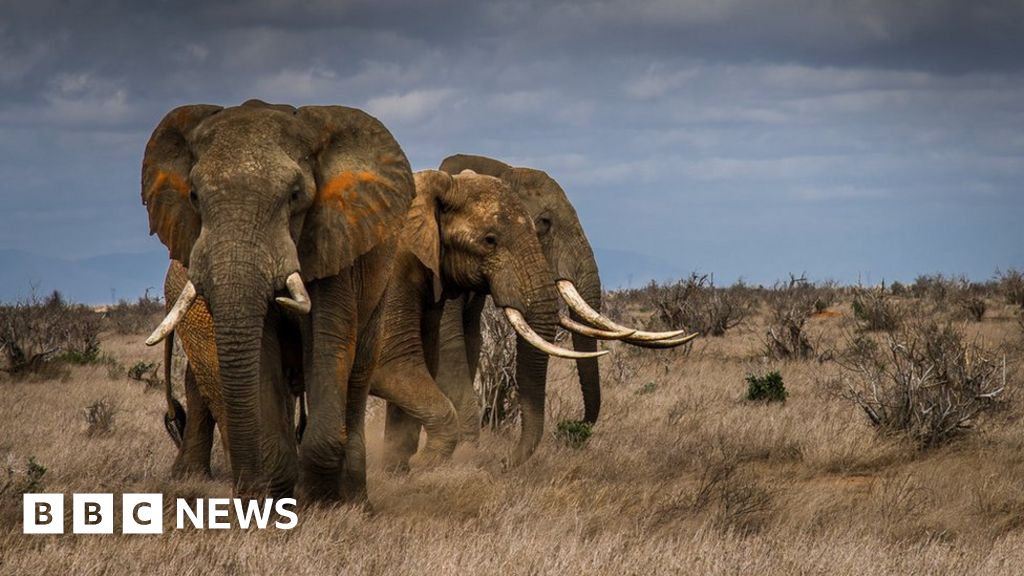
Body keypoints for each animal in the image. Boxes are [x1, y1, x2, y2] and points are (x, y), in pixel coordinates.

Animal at [141, 99, 414, 502]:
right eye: (194, 197)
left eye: (295, 196)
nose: (247, 491)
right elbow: (262, 353)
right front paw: (274, 500)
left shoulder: (332, 241)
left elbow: (327, 344)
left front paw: (322, 504)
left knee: (357, 375)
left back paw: (356, 502)